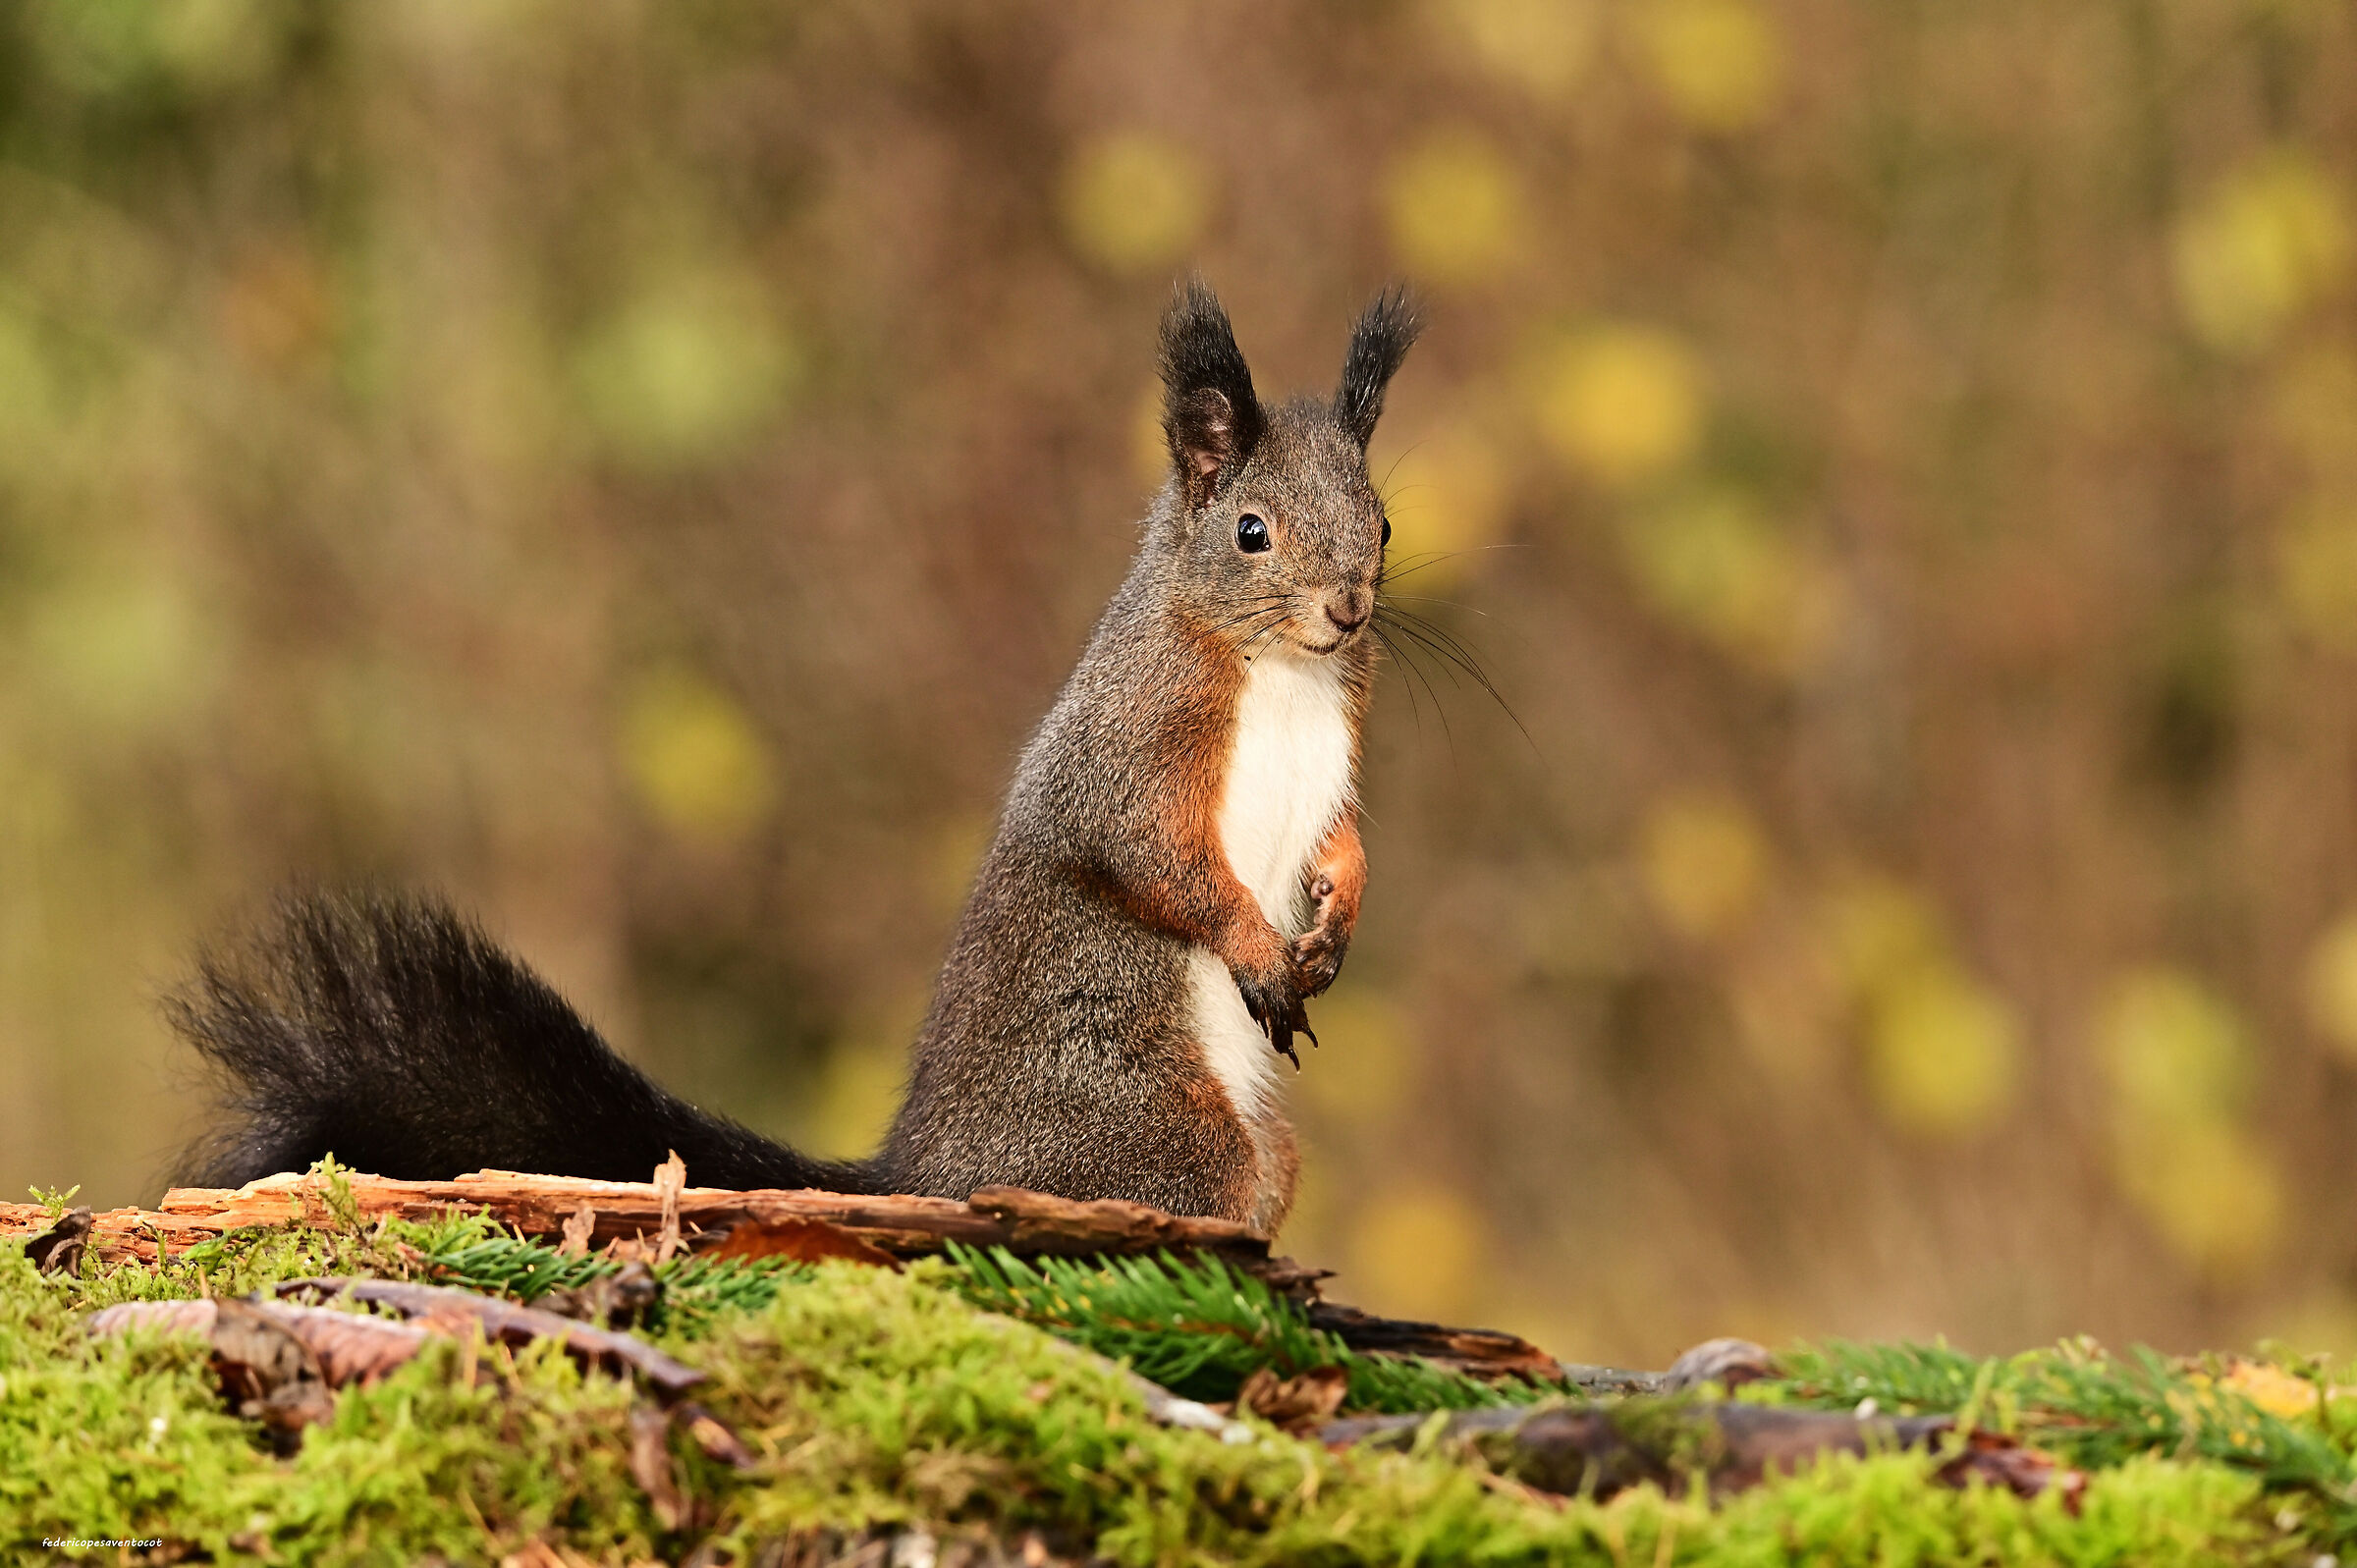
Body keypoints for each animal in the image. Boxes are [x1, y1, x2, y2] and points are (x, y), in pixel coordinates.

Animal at [172, 279, 1421, 1234]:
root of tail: (928, 1171)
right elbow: (1149, 854)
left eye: (1382, 523)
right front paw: (1256, 943)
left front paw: (1339, 915)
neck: (1283, 673)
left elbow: (1345, 846)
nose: (1348, 610)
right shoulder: (1133, 738)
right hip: (1153, 1120)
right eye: (1252, 532)